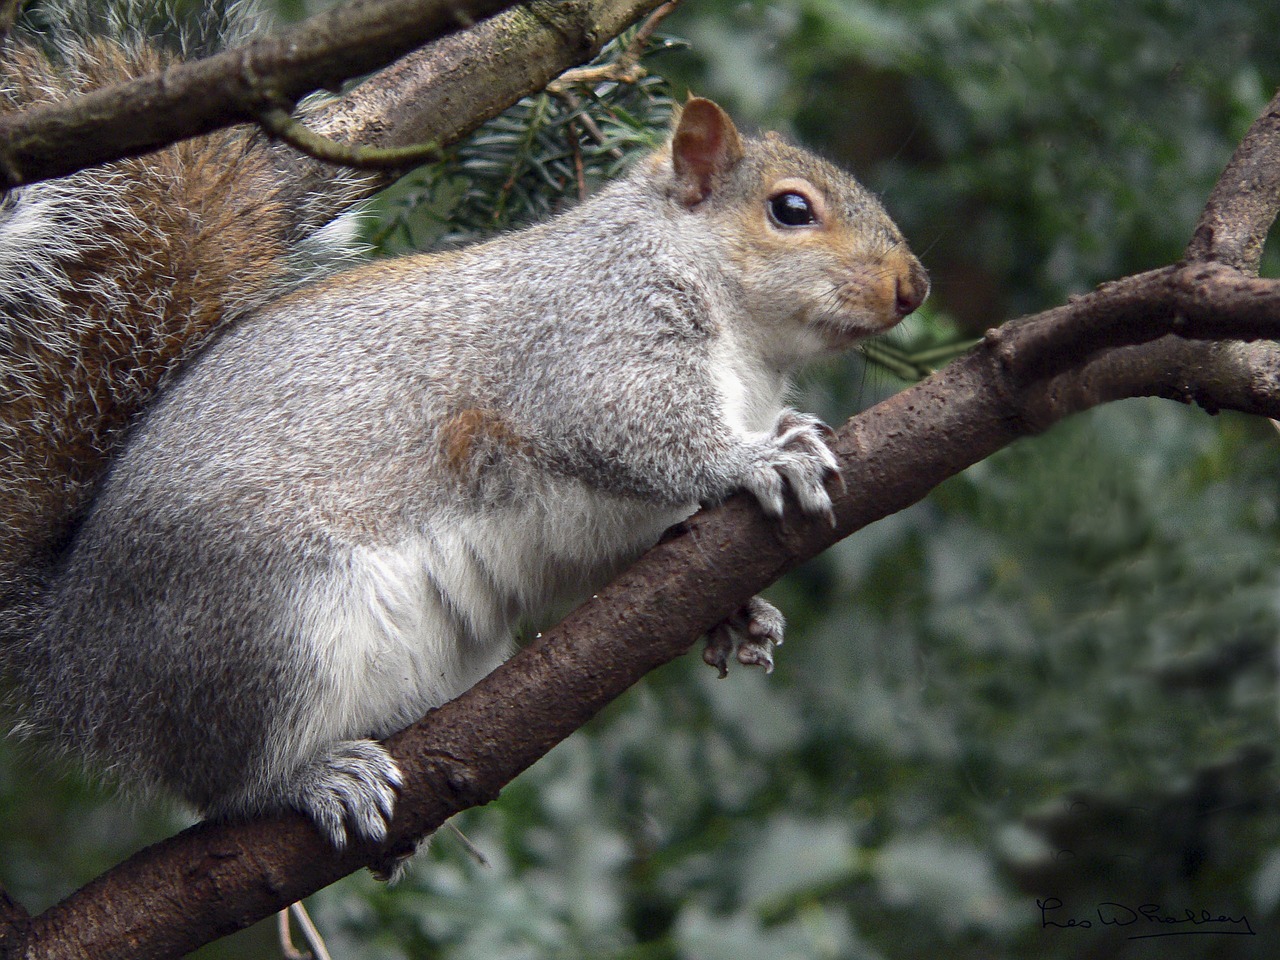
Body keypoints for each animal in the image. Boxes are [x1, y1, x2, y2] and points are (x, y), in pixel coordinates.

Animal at [0, 5, 931, 849]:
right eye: (791, 210)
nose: (914, 286)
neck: (747, 347)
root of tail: (69, 655)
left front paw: (740, 607)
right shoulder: (590, 338)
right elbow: (634, 432)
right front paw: (760, 461)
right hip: (265, 623)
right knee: (220, 785)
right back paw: (311, 779)